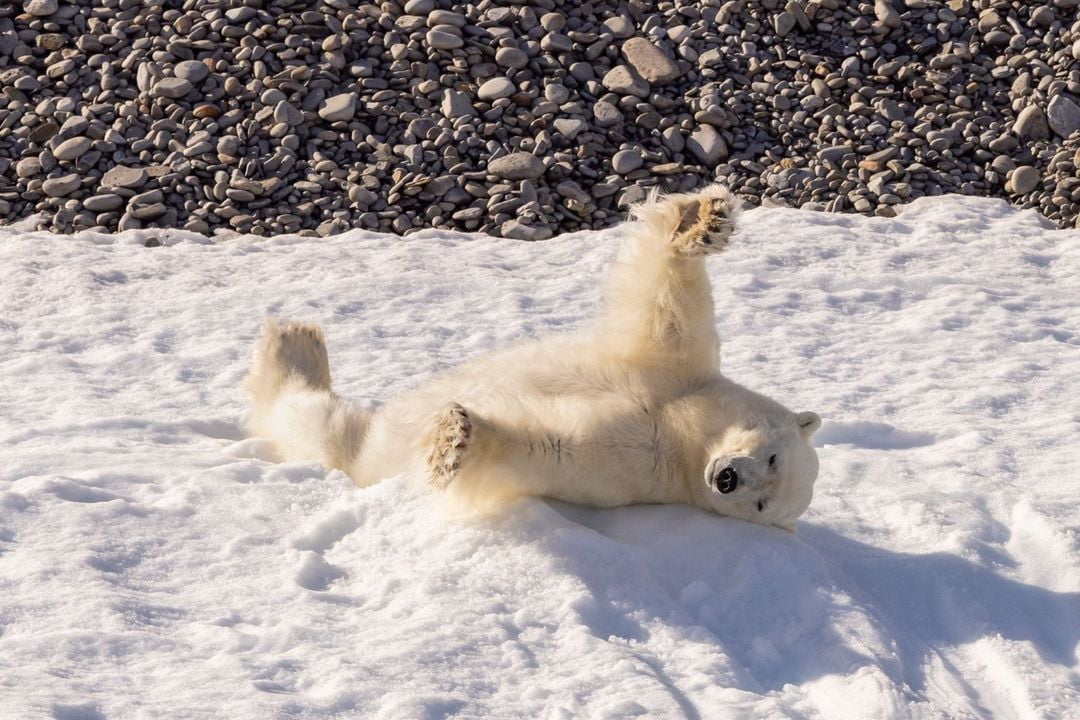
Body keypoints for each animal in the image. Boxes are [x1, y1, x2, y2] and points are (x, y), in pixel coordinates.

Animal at [245, 185, 816, 533]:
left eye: (762, 504)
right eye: (772, 456)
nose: (728, 478)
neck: (685, 437)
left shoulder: (638, 469)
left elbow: (553, 445)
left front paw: (455, 438)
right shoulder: (679, 371)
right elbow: (669, 309)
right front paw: (704, 221)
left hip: (371, 456)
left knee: (321, 429)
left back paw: (293, 347)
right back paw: (300, 339)